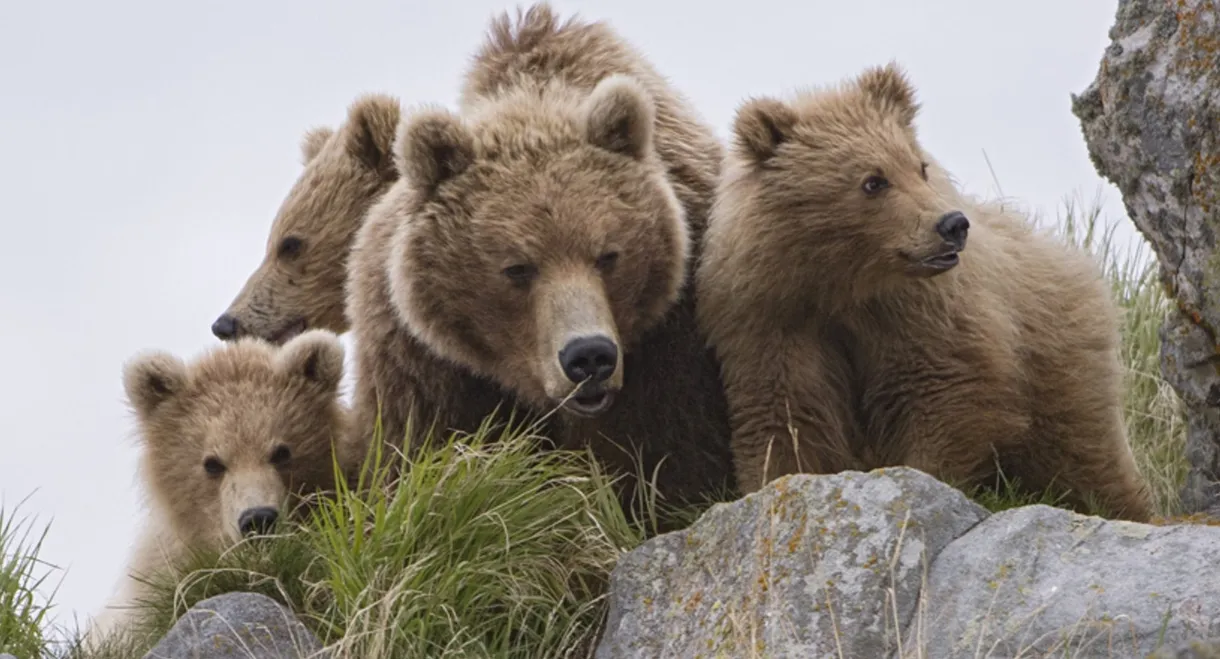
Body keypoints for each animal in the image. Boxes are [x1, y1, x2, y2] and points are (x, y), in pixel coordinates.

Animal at [345, 3, 735, 519]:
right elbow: (423, 455)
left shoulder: (669, 346)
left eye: (608, 254)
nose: (589, 356)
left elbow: (671, 460)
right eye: (517, 267)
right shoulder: (425, 365)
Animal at [695, 62, 1154, 522]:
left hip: (1058, 361)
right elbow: (787, 414)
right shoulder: (774, 319)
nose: (952, 224)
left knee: (1083, 453)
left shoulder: (922, 314)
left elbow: (941, 391)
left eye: (919, 166)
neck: (844, 284)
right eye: (873, 181)